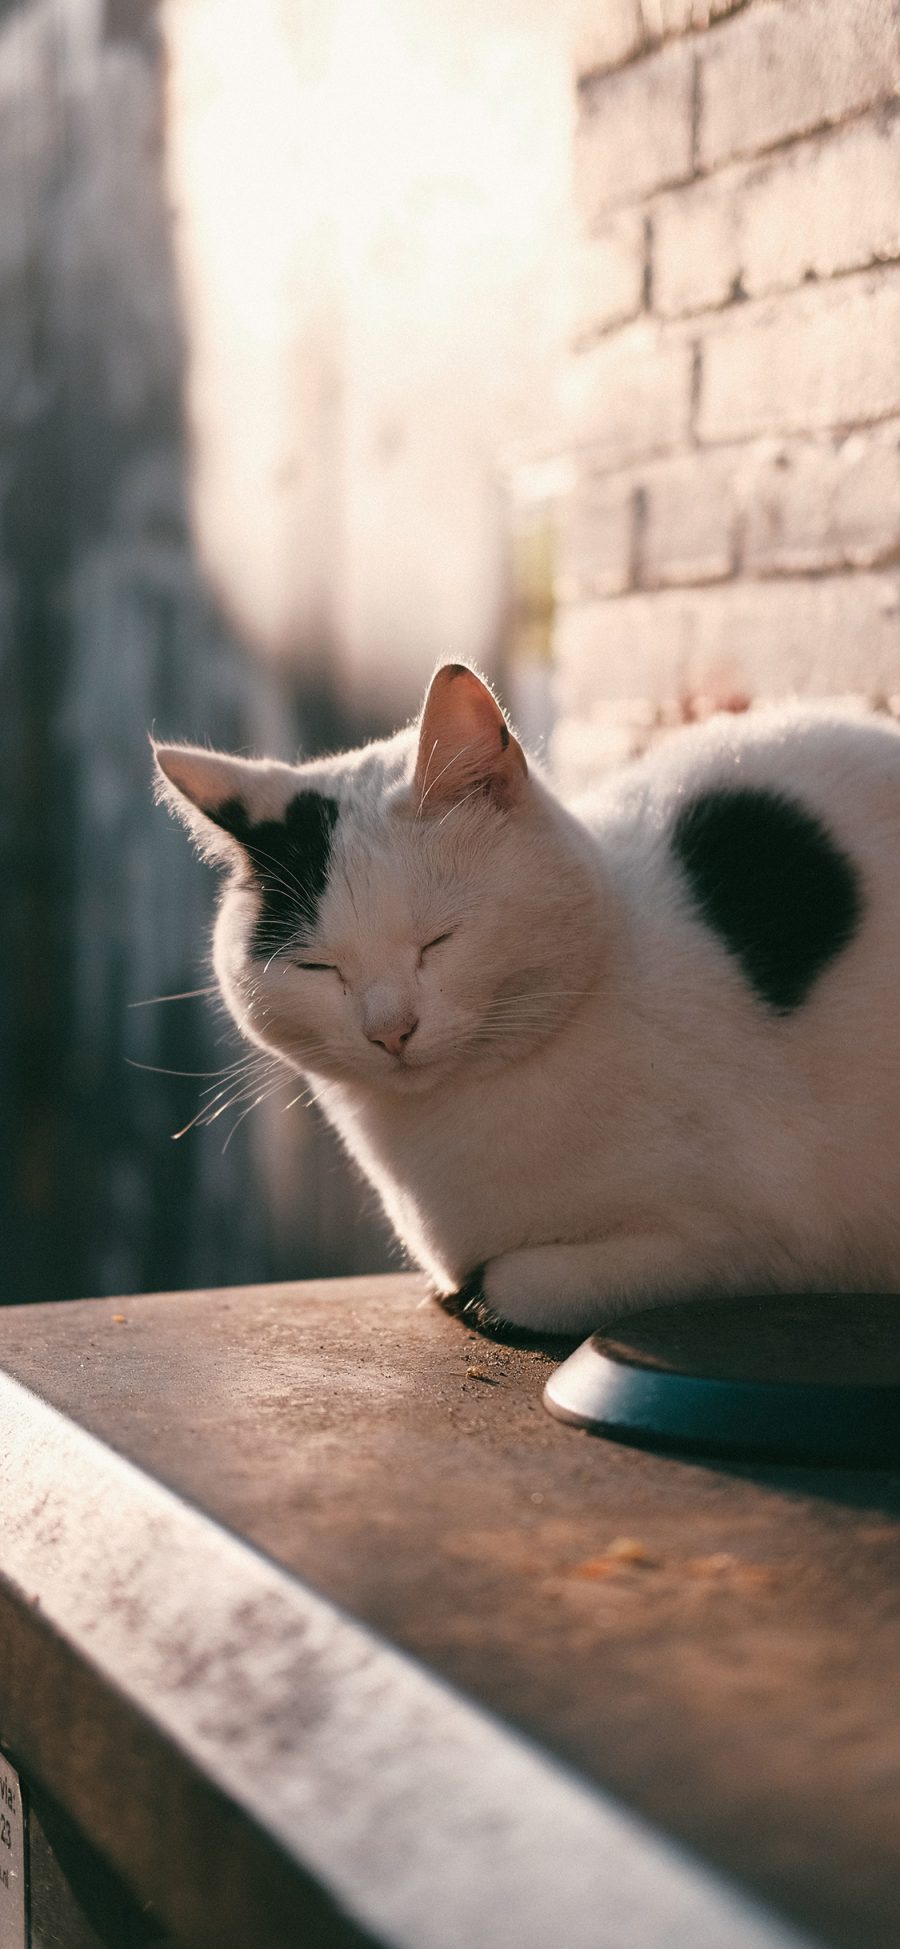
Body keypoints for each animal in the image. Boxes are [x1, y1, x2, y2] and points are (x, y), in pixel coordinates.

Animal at [154, 662, 900, 1333]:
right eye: (318, 966)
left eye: (439, 941)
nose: (390, 1030)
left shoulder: (763, 1240)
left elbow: (526, 1282)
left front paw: (478, 1296)